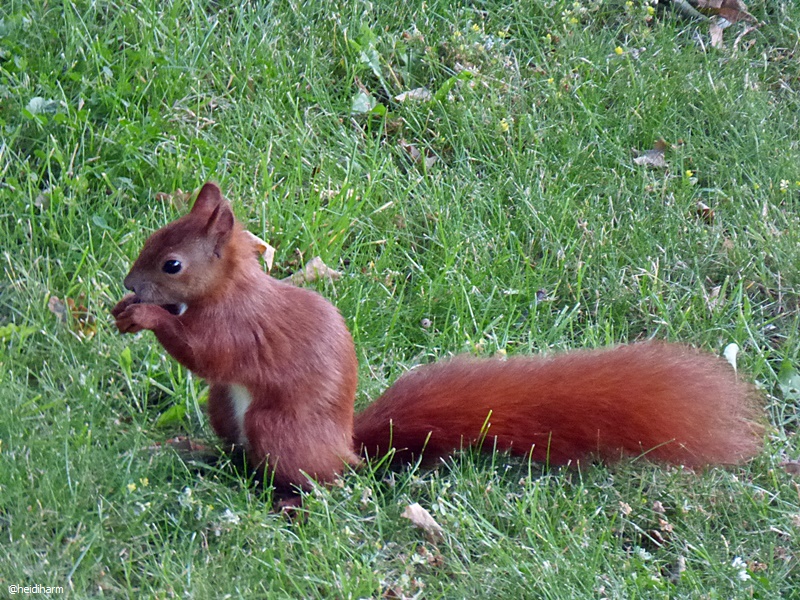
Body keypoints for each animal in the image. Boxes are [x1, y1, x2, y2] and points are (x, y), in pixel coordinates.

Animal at [111, 183, 764, 496]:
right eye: (152, 239)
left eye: (171, 264)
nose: (128, 284)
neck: (231, 289)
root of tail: (350, 450)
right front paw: (124, 312)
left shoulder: (241, 328)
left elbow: (206, 353)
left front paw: (145, 319)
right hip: (225, 408)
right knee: (238, 452)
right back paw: (198, 454)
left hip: (279, 426)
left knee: (309, 481)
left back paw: (287, 500)